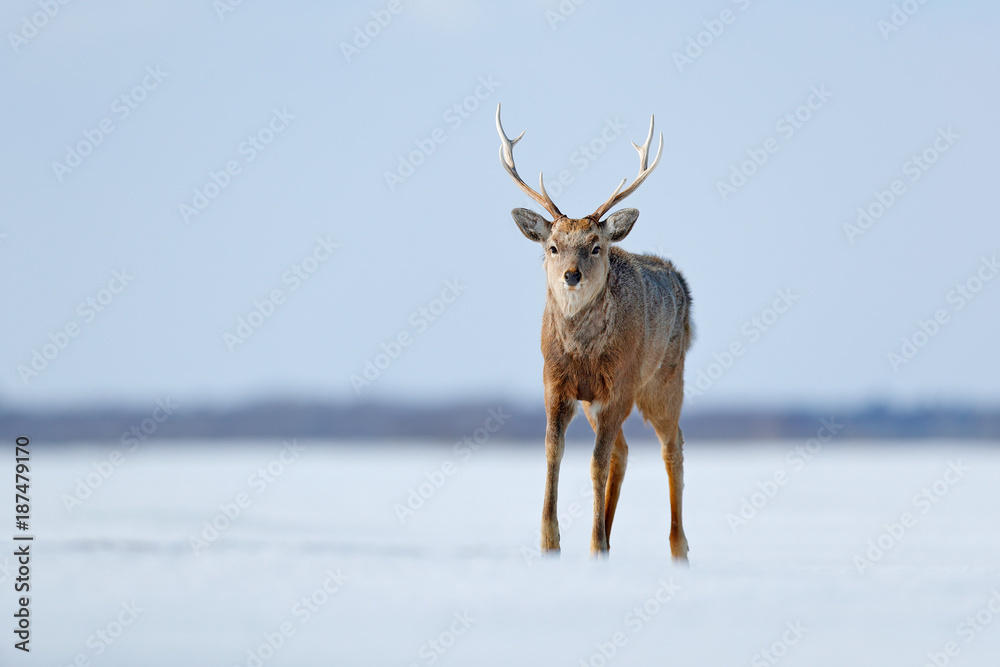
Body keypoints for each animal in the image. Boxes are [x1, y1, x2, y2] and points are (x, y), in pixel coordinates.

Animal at [494, 105, 696, 564]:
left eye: (595, 245)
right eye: (552, 246)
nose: (571, 274)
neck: (582, 353)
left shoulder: (618, 386)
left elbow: (595, 462)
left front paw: (591, 543)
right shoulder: (557, 384)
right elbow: (554, 451)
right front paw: (550, 542)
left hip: (663, 382)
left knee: (672, 447)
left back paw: (678, 547)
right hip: (600, 402)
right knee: (624, 451)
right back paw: (608, 536)